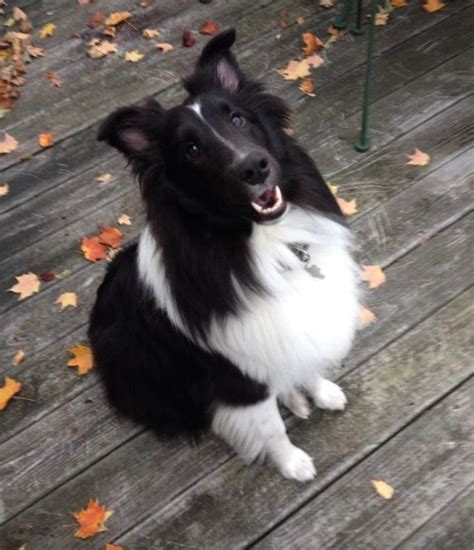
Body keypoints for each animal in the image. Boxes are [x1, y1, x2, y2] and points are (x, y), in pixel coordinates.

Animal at [89, 29, 360, 484]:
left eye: (237, 119)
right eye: (191, 149)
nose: (255, 167)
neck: (262, 245)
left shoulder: (289, 328)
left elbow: (304, 360)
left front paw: (320, 390)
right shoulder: (239, 377)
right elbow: (270, 427)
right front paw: (292, 464)